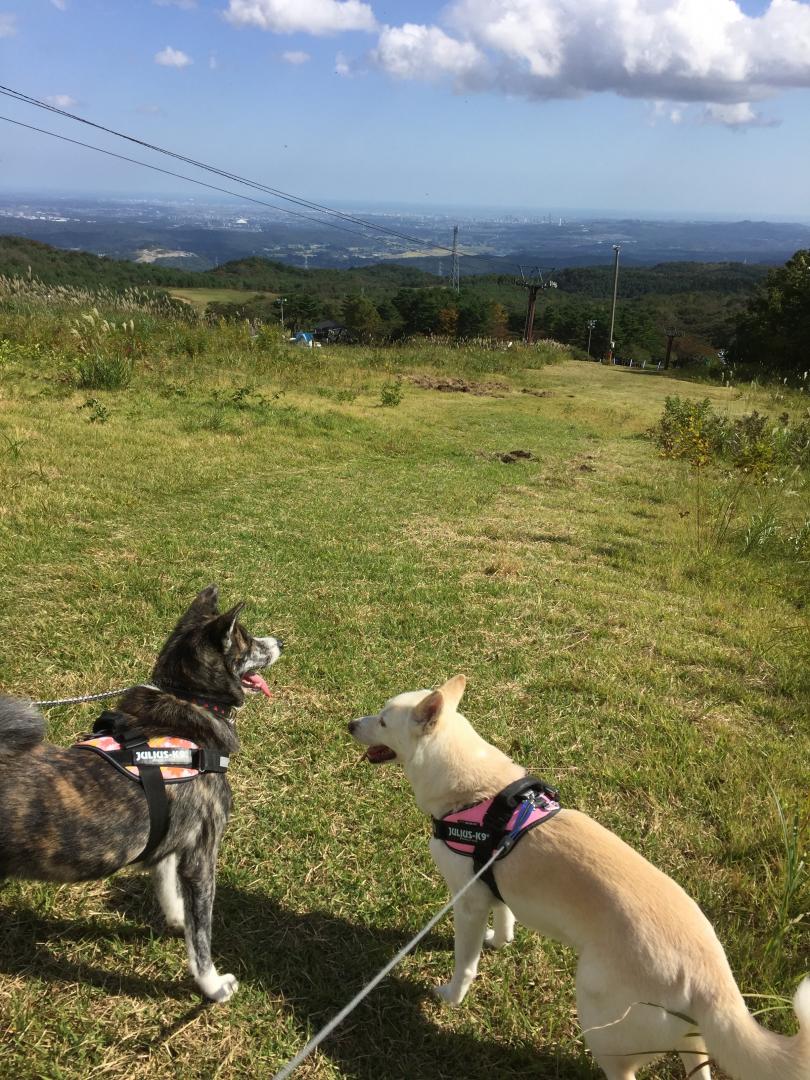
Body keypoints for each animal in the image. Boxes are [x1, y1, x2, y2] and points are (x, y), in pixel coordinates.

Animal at [0, 587, 285, 997]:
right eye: (247, 641)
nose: (281, 642)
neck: (188, 701)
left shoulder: (166, 842)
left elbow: (171, 894)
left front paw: (178, 921)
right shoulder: (202, 855)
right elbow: (203, 935)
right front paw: (213, 986)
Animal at [349, 673, 810, 1080]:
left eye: (384, 720)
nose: (350, 724)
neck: (477, 794)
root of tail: (710, 973)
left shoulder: (467, 903)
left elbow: (465, 965)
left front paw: (451, 997)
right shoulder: (493, 884)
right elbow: (506, 919)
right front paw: (500, 942)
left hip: (598, 1016)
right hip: (688, 1039)